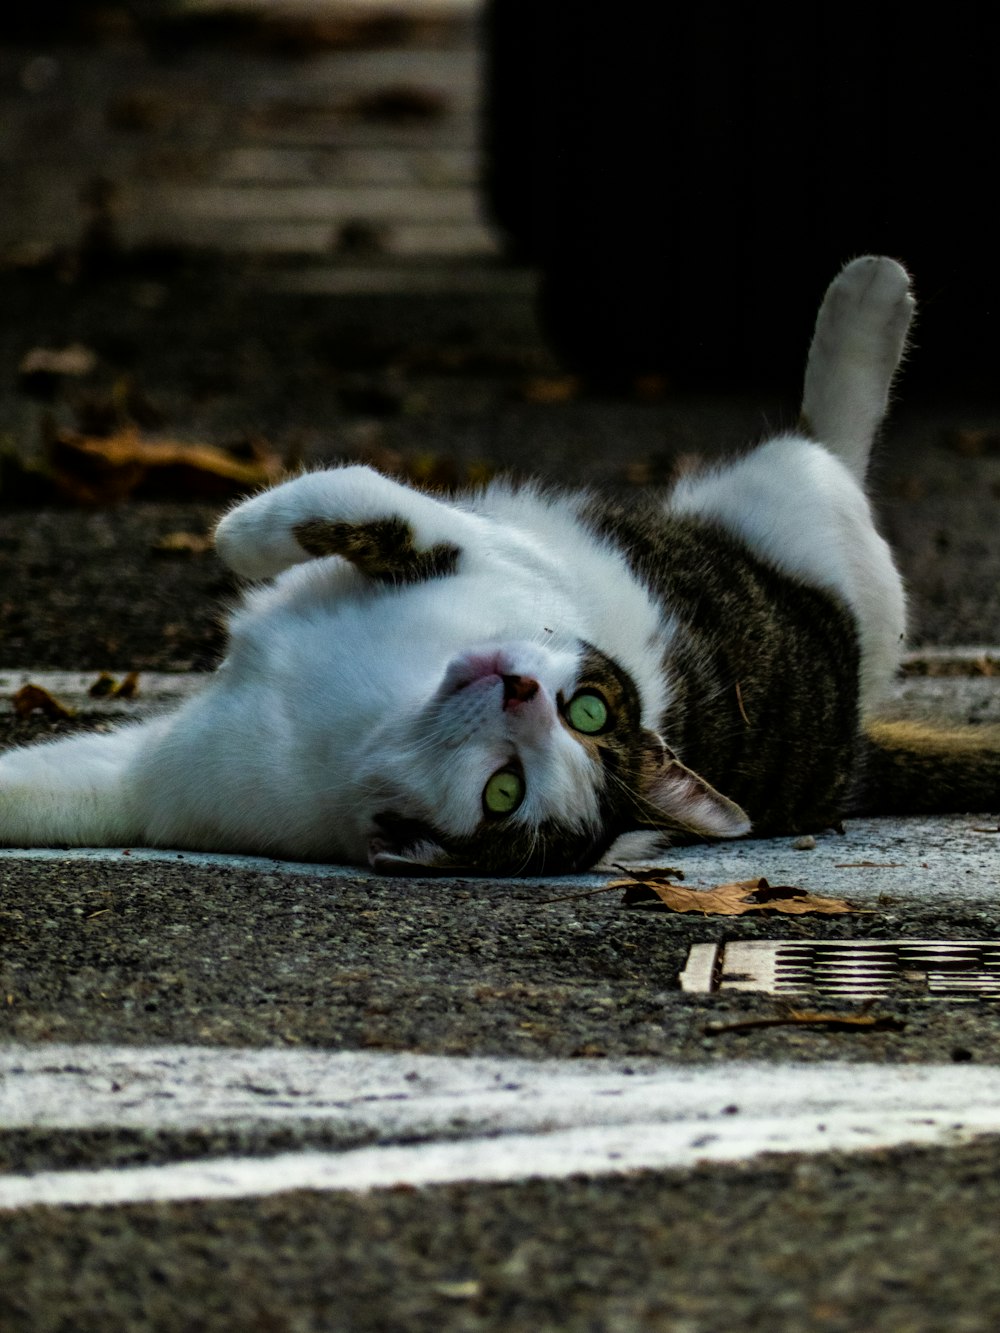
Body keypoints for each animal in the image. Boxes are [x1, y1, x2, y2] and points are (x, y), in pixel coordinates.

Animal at [0, 255, 997, 874]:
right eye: (590, 707)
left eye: (504, 791)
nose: (521, 691)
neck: (374, 714)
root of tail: (852, 731)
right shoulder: (157, 781)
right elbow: (359, 500)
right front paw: (254, 537)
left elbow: (358, 497)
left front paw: (236, 535)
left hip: (811, 519)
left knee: (835, 450)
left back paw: (872, 298)